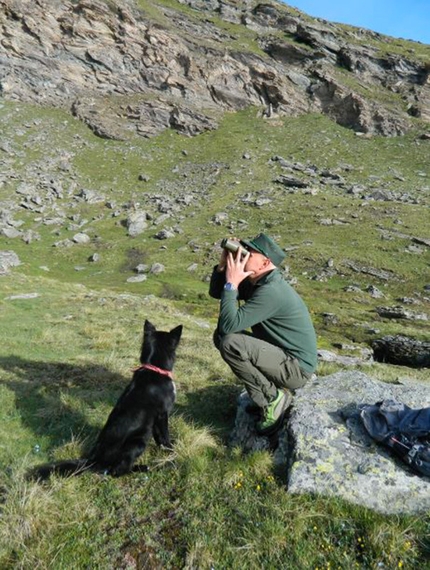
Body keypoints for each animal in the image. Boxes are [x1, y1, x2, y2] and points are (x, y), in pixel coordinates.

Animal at [29, 318, 182, 478]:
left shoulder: (155, 420)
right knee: (117, 471)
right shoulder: (162, 414)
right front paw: (172, 452)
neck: (154, 369)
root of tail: (93, 460)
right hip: (138, 441)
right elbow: (164, 436)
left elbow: (159, 438)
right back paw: (140, 468)